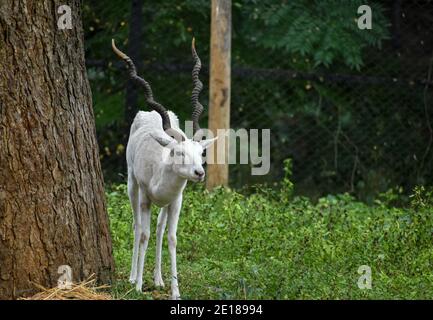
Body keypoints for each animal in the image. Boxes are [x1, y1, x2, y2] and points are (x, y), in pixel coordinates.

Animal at [111, 38, 216, 300]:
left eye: (201, 153)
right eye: (178, 152)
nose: (199, 173)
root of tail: (149, 112)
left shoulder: (176, 200)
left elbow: (171, 238)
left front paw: (175, 291)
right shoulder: (145, 197)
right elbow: (143, 234)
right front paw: (138, 285)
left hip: (165, 205)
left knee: (159, 229)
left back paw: (158, 279)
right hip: (132, 186)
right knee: (137, 227)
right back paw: (132, 276)